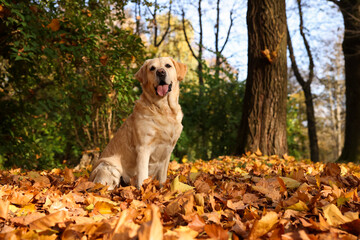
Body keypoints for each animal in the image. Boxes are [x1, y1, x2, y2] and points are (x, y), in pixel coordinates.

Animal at [89, 57, 187, 189]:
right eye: (152, 68)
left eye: (168, 65)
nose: (160, 72)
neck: (164, 109)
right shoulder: (143, 148)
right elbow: (143, 176)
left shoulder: (167, 151)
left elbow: (162, 178)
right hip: (108, 167)